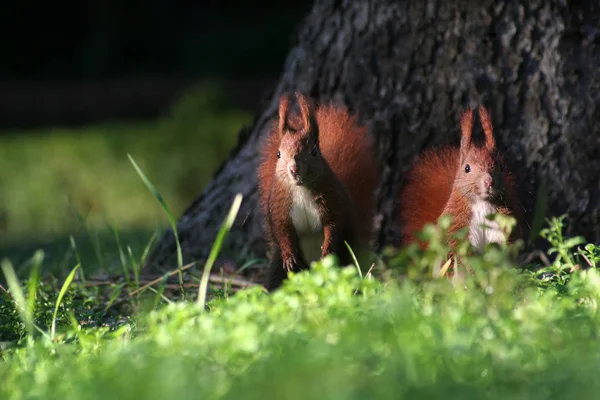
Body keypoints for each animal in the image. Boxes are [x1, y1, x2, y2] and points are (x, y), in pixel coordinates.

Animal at [258, 92, 380, 290]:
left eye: (314, 152)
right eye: (278, 154)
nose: (294, 169)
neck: (300, 189)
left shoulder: (332, 200)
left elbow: (334, 225)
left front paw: (328, 251)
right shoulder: (279, 205)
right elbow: (281, 229)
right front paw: (289, 256)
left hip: (346, 260)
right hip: (279, 270)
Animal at [398, 104, 524, 252]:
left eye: (502, 167)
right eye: (467, 168)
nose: (488, 181)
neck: (482, 203)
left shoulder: (502, 222)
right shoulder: (456, 224)